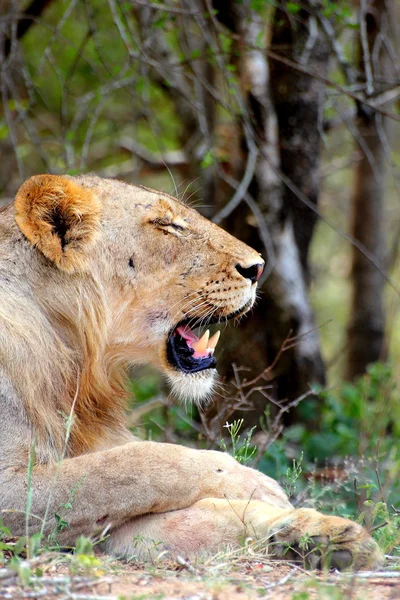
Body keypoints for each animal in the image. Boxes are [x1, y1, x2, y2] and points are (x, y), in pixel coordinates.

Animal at [0, 173, 382, 568]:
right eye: (166, 224)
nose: (258, 268)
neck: (74, 358)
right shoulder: (11, 492)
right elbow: (138, 463)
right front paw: (256, 482)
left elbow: (195, 520)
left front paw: (321, 535)